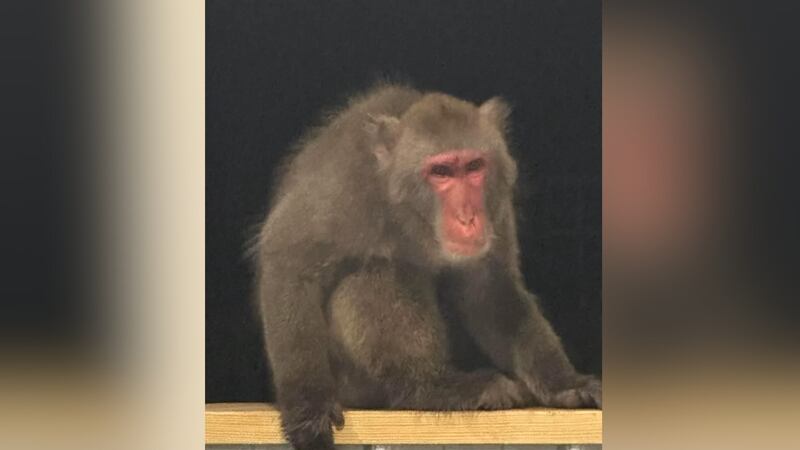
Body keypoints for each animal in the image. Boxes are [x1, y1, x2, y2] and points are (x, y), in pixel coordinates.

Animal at [253, 83, 601, 450]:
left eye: (474, 166)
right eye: (441, 172)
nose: (467, 218)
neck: (412, 216)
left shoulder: (496, 205)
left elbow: (491, 290)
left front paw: (565, 382)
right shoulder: (341, 185)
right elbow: (288, 262)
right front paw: (307, 406)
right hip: (350, 381)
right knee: (377, 273)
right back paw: (429, 387)